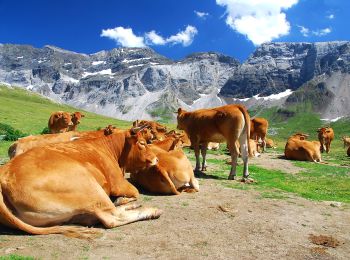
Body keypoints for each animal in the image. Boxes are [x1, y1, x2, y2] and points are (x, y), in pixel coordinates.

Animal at [0, 128, 161, 238]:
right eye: (142, 143)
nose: (156, 158)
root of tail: (5, 173)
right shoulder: (118, 183)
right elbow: (136, 192)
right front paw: (122, 199)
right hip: (89, 185)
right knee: (111, 217)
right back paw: (152, 211)